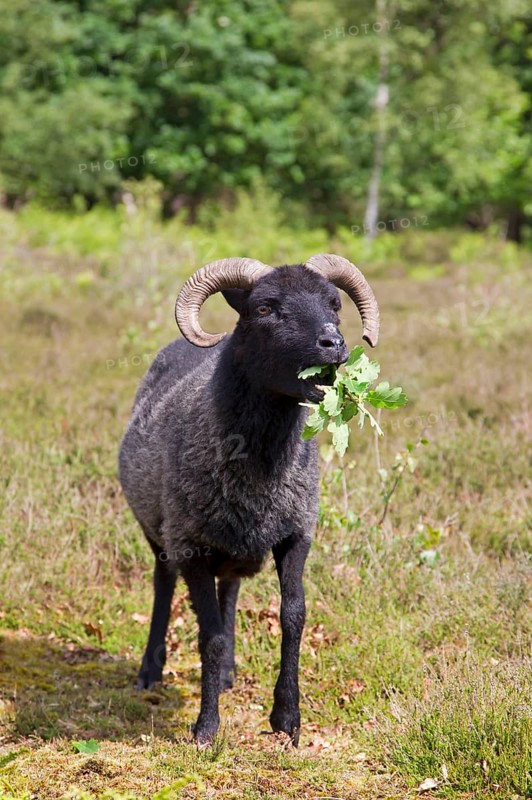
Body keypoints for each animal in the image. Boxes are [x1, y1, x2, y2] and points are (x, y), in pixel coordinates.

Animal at [118, 254, 380, 745]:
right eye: (264, 309)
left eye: (334, 304)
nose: (333, 343)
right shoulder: (191, 546)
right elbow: (210, 637)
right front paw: (206, 729)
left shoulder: (296, 534)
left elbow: (293, 616)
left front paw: (287, 719)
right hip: (160, 533)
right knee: (163, 586)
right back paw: (150, 671)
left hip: (232, 546)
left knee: (231, 591)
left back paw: (225, 674)